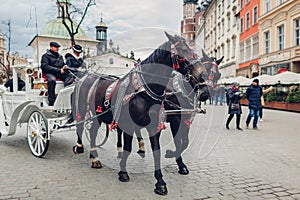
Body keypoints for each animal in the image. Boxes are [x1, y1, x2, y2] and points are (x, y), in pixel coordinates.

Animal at [71, 31, 210, 195]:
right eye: (182, 52)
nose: (204, 88)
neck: (144, 91)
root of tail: (84, 77)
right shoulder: (131, 124)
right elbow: (128, 148)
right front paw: (123, 172)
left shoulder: (156, 125)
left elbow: (158, 150)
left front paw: (160, 182)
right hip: (83, 110)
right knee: (82, 127)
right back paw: (83, 149)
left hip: (99, 115)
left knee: (92, 131)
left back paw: (95, 156)